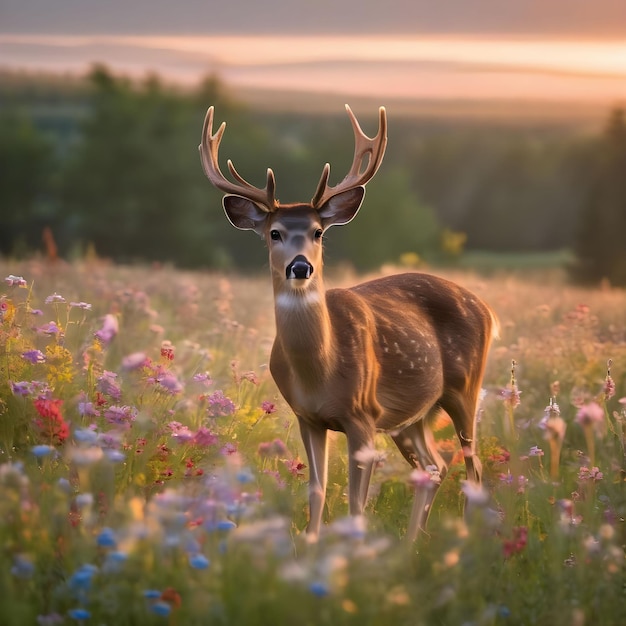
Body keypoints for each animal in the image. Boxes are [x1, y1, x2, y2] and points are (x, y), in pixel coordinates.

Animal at [200, 103, 498, 540]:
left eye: (318, 232)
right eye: (274, 233)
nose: (300, 266)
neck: (320, 371)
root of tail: (487, 309)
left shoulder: (363, 415)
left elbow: (356, 502)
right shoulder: (307, 417)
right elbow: (317, 489)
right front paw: (311, 544)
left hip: (463, 388)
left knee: (472, 470)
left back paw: (465, 540)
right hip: (411, 416)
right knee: (434, 467)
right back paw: (412, 543)